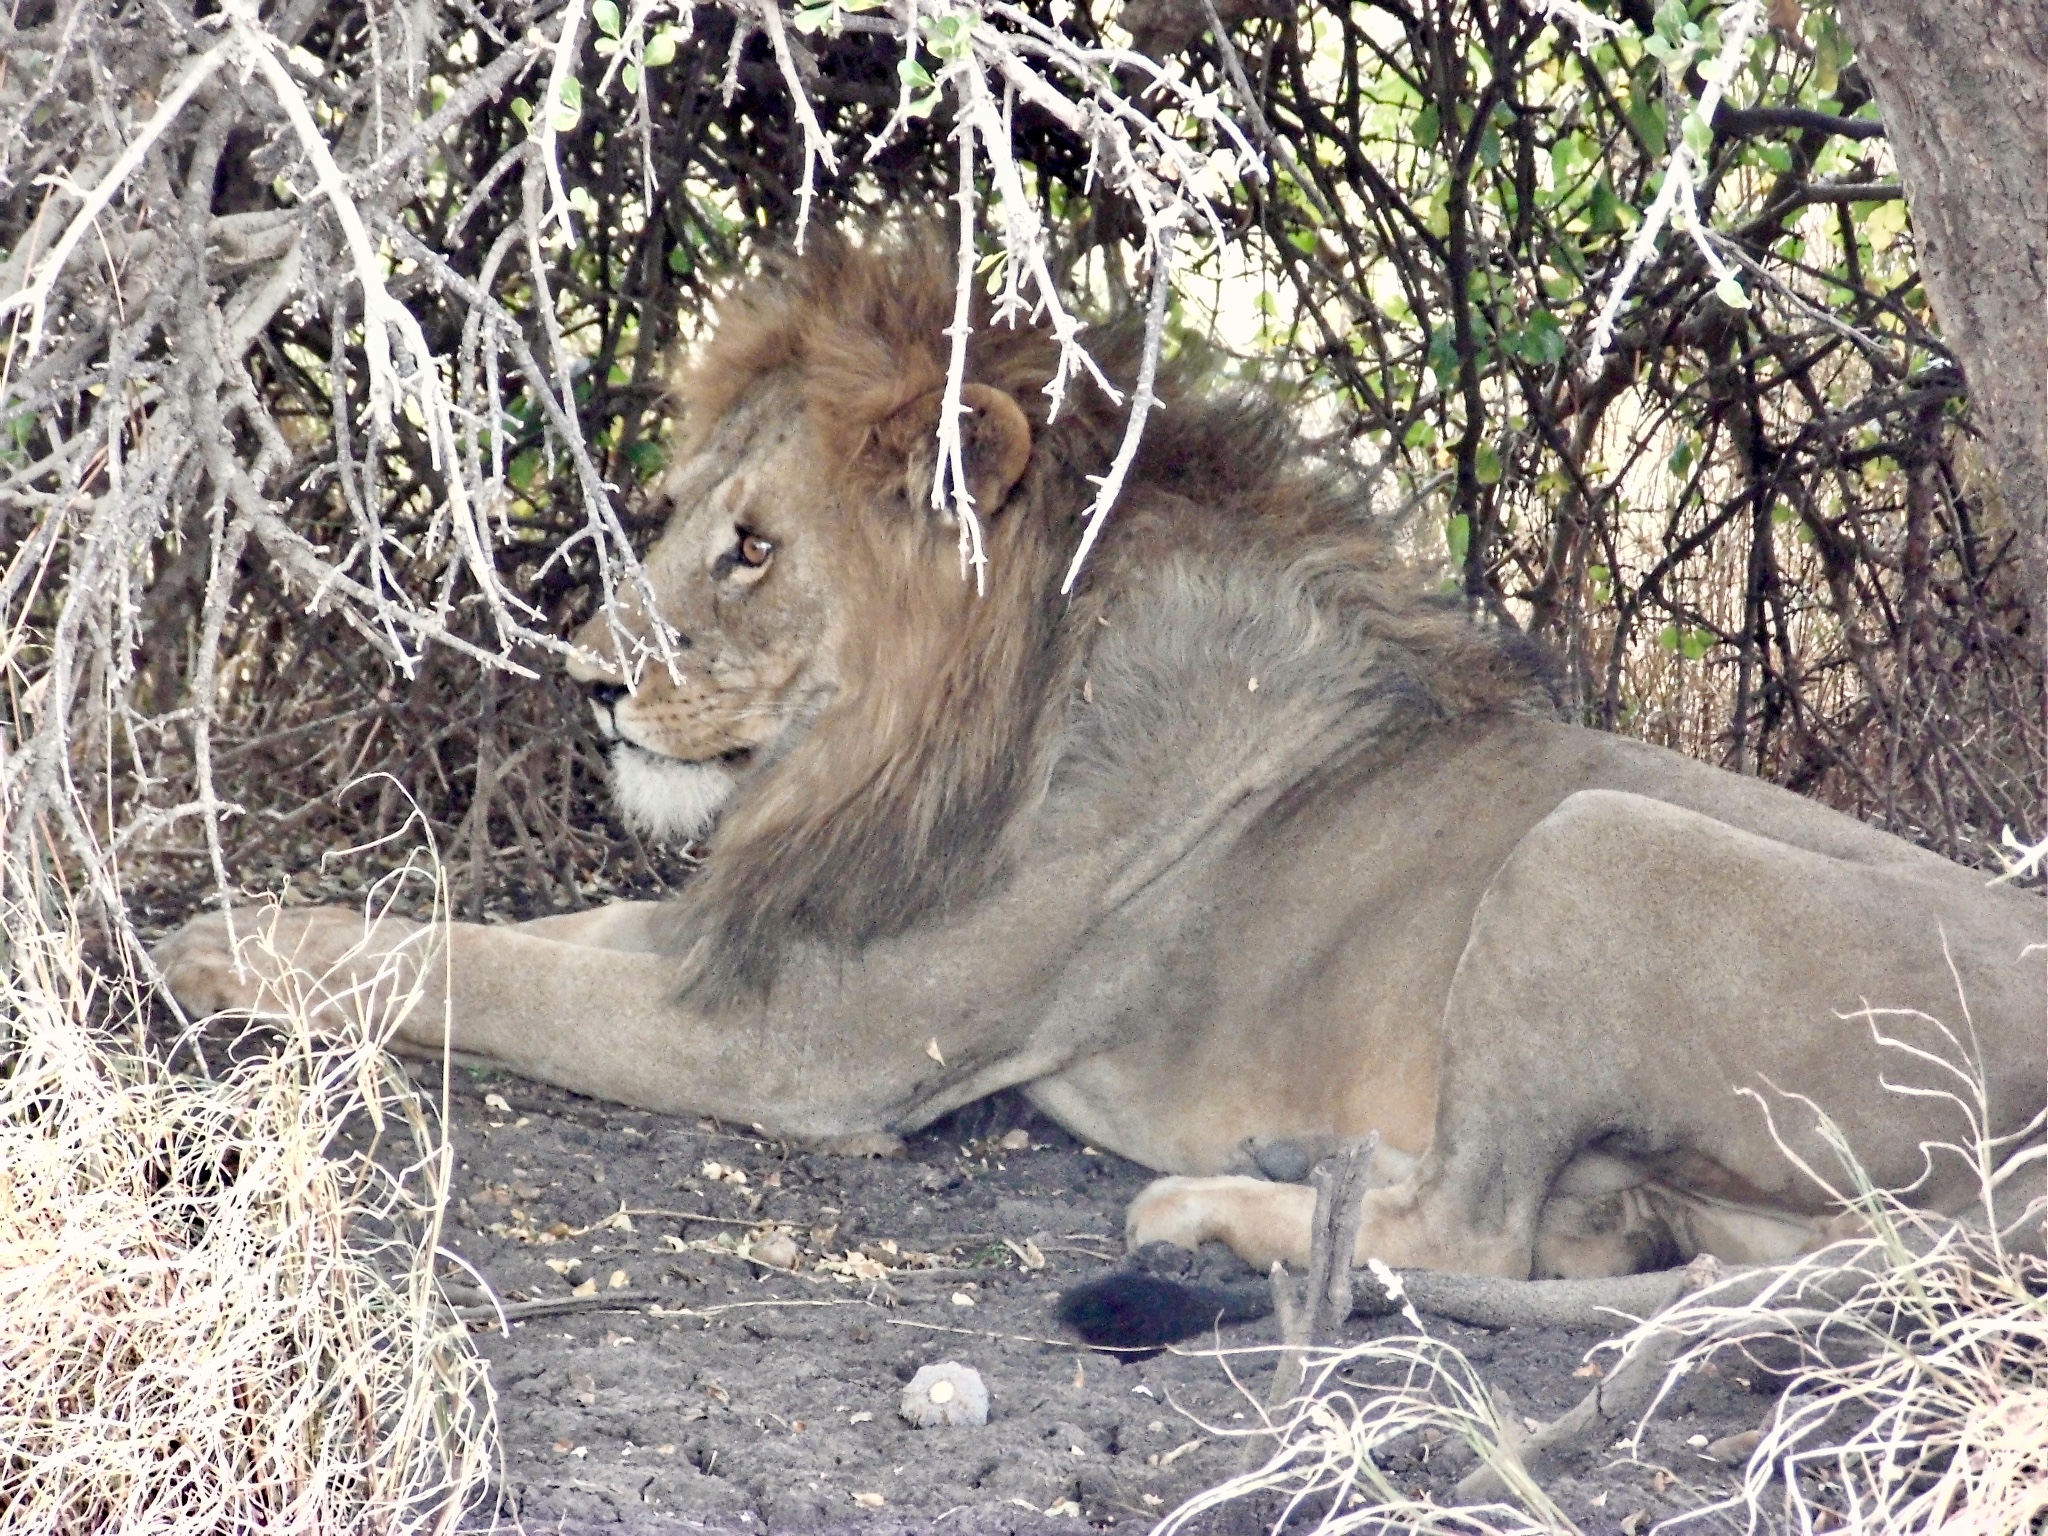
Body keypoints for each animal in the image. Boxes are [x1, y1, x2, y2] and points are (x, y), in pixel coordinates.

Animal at [163, 234, 2048, 1318]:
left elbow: (466, 968)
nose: (591, 681)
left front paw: (212, 941)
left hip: (1600, 839)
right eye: (677, 511)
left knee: (1477, 1239)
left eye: (752, 549)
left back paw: (1199, 1209)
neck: (904, 755)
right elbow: (515, 938)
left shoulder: (801, 1050)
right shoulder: (750, 941)